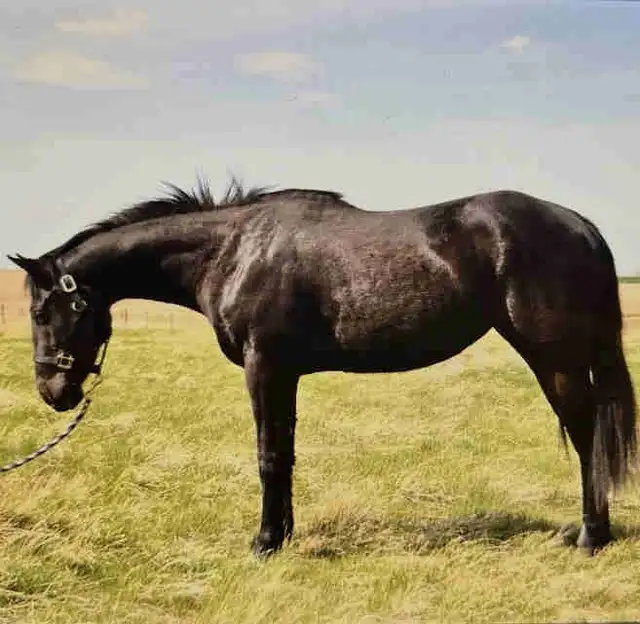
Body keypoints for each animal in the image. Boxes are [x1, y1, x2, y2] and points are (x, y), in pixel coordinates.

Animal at [8, 178, 636, 557]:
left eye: (42, 309)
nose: (52, 390)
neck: (233, 250)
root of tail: (578, 224)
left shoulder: (264, 366)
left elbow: (267, 455)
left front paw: (264, 542)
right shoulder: (284, 374)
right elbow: (284, 453)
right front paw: (283, 534)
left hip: (553, 358)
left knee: (586, 435)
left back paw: (591, 535)